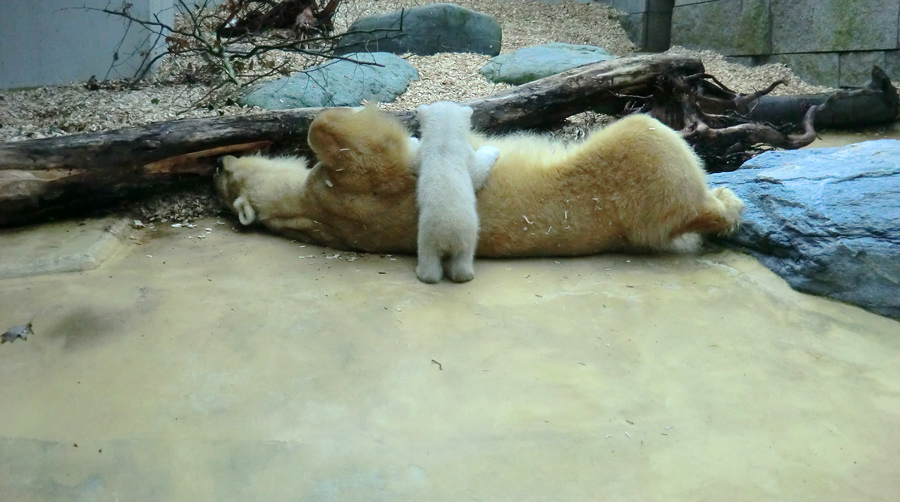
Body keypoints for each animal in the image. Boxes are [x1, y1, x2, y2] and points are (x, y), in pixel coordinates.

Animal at [214, 106, 740, 255]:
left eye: (226, 181)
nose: (219, 166)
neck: (303, 211)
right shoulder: (353, 193)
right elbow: (357, 150)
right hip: (632, 173)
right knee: (649, 136)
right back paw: (725, 200)